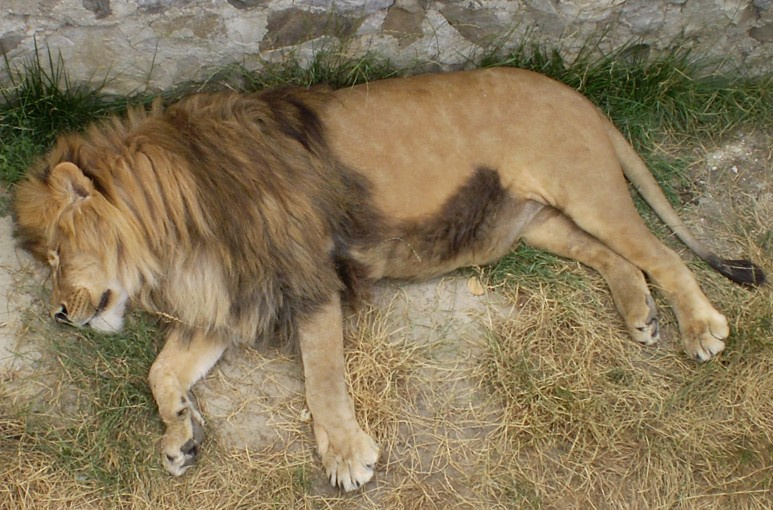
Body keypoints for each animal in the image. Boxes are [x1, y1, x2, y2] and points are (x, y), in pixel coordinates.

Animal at [14, 68, 765, 491]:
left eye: (55, 253)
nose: (57, 314)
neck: (175, 232)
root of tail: (577, 95)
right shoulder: (233, 295)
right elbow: (162, 373)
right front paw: (179, 436)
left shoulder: (307, 276)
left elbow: (321, 378)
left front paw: (347, 456)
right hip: (530, 224)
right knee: (616, 259)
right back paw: (639, 312)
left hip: (586, 191)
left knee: (660, 255)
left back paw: (700, 327)